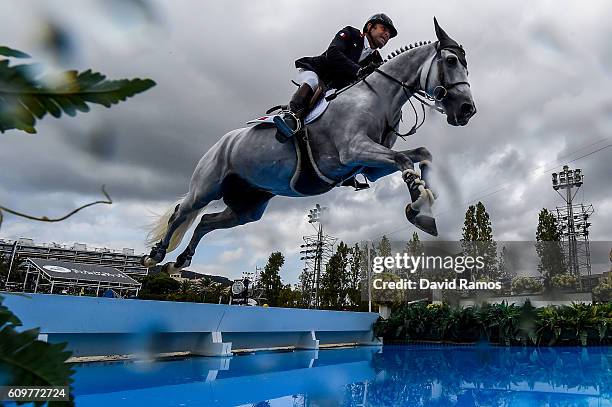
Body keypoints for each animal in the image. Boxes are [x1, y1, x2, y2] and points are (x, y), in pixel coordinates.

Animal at [141, 19, 476, 274]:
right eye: (450, 61)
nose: (467, 110)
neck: (380, 97)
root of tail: (222, 142)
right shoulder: (353, 150)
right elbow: (405, 161)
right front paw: (420, 208)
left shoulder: (370, 166)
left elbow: (421, 155)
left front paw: (426, 201)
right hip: (207, 186)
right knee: (181, 213)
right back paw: (155, 255)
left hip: (247, 207)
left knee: (205, 222)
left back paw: (180, 261)